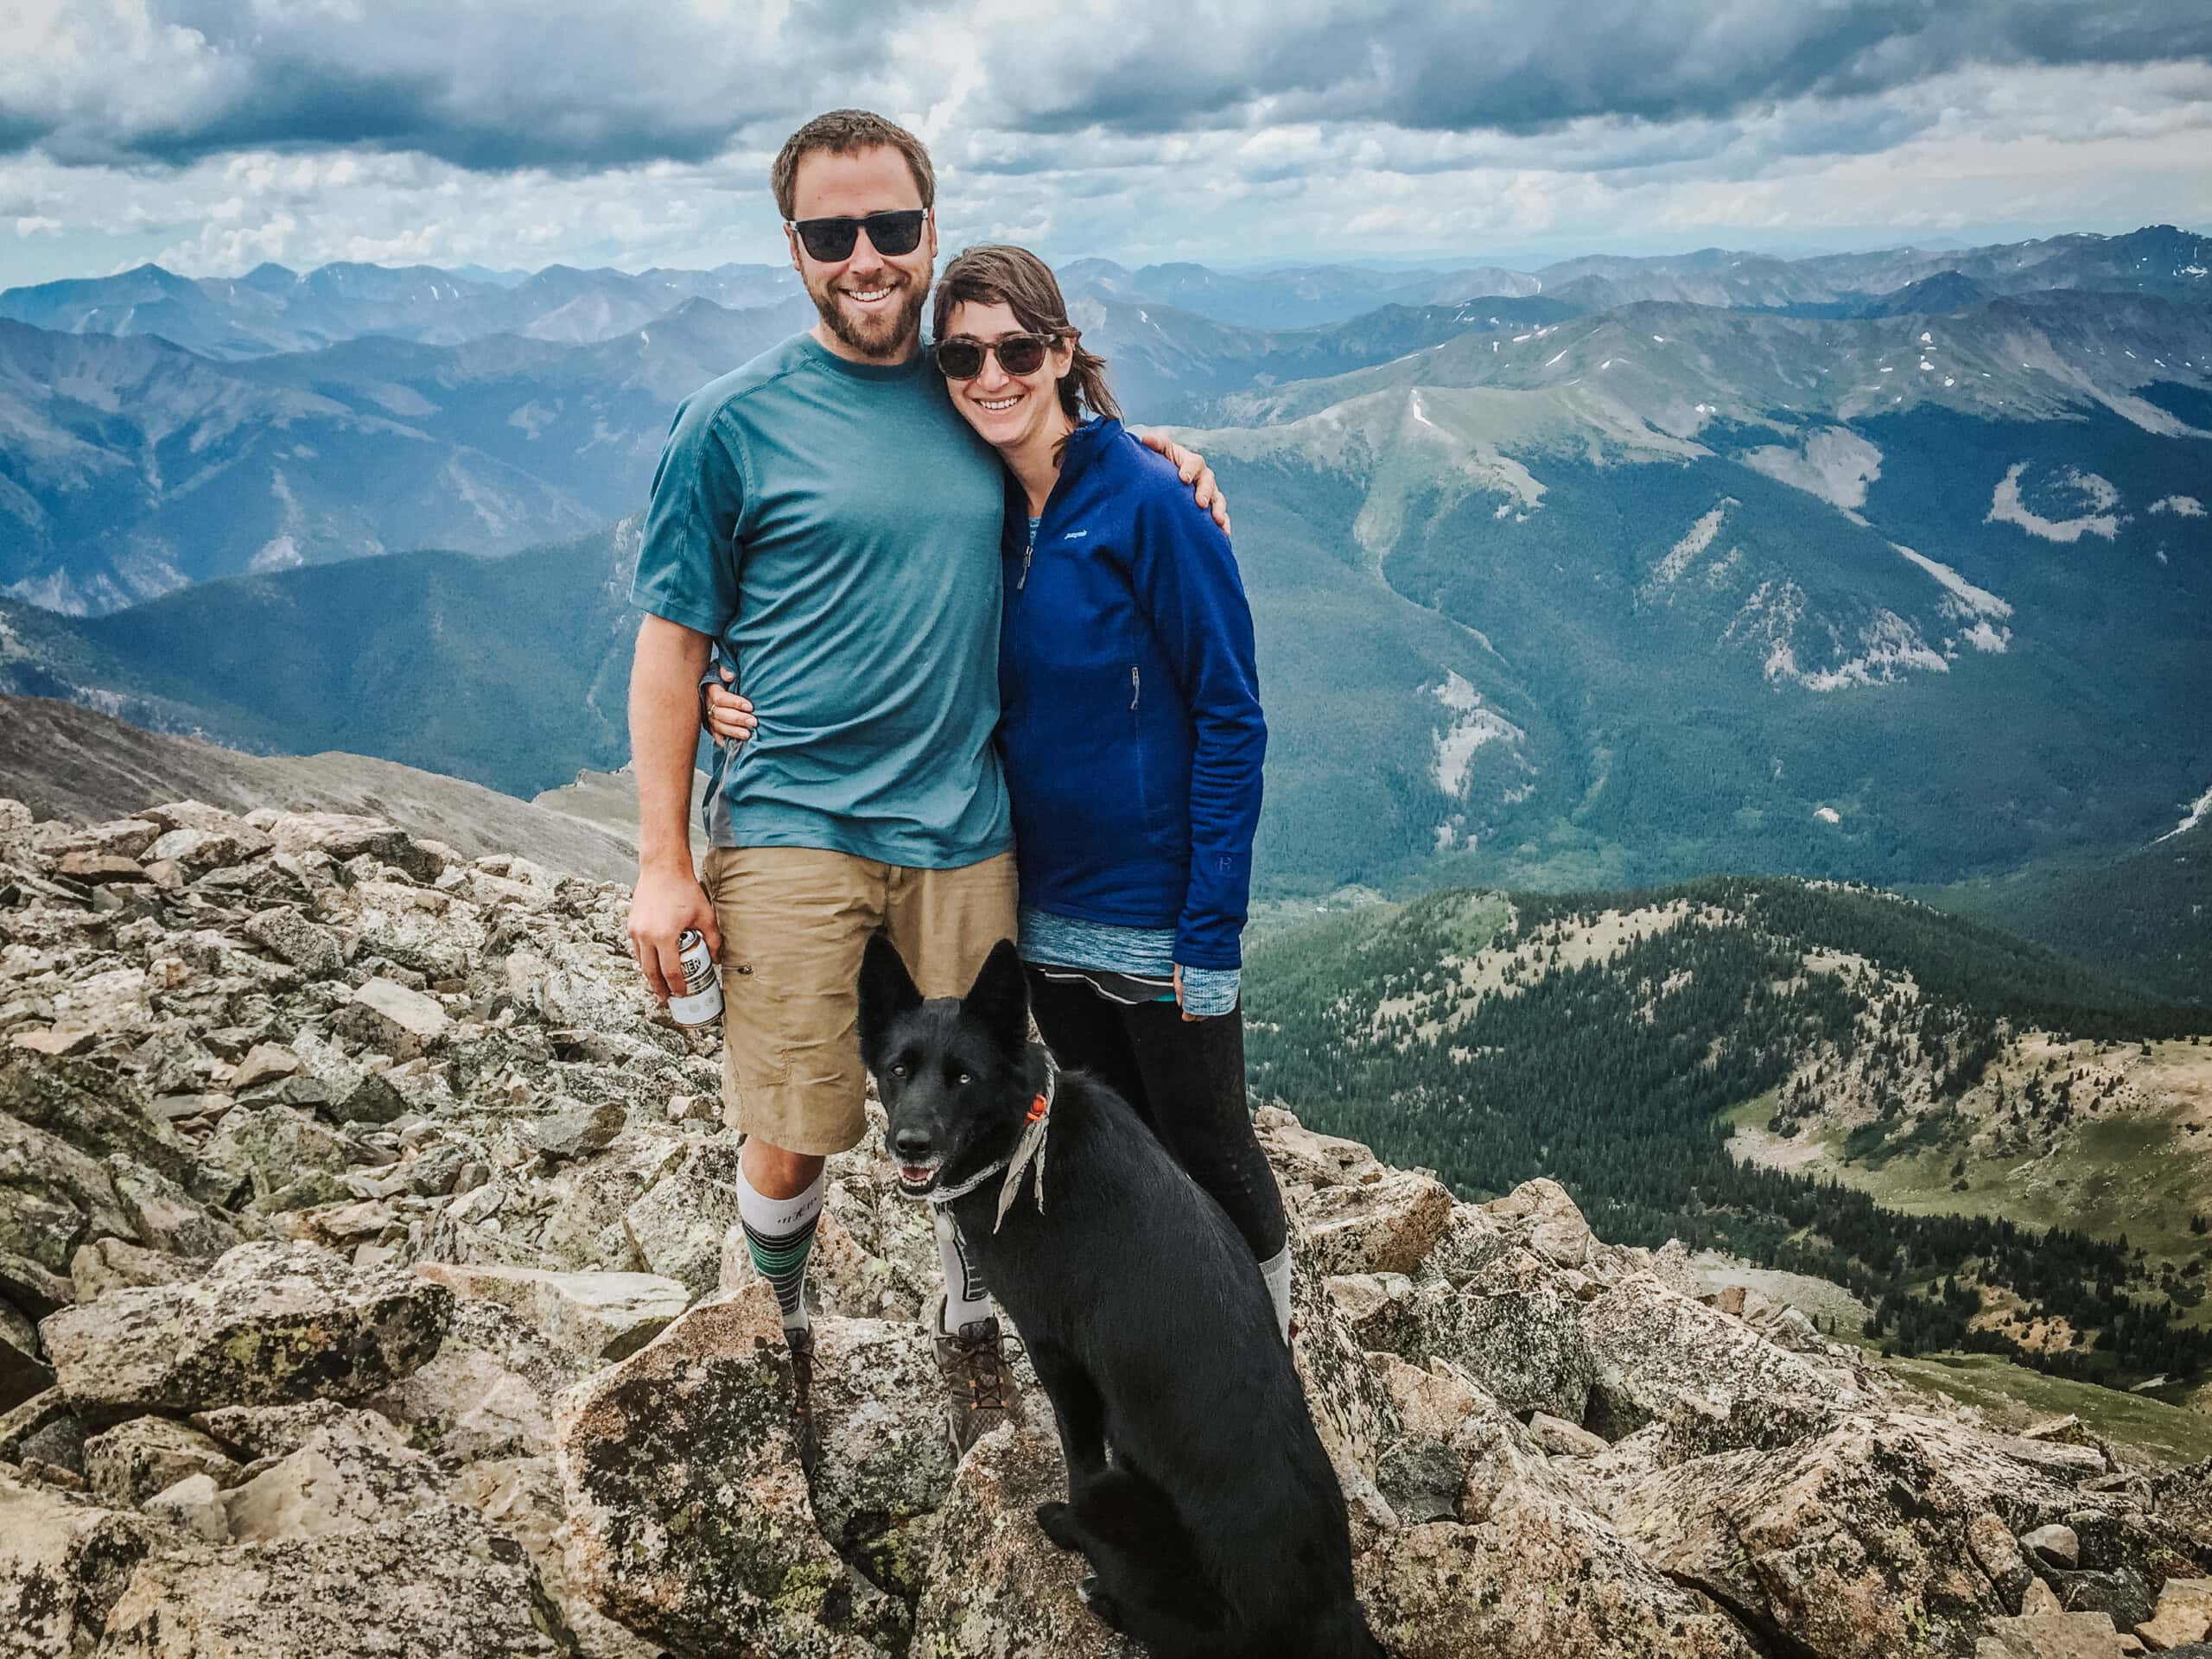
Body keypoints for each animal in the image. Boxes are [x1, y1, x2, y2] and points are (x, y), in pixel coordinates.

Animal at [849, 942, 1380, 1654]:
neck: (1026, 1137)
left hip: (1119, 1507)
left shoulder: (1056, 1351)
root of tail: (1330, 1615)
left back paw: (1095, 1579)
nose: (910, 1144)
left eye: (963, 1078)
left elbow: (1078, 1455)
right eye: (899, 1070)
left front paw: (1062, 1523)